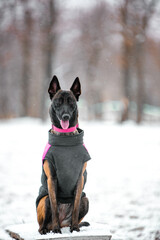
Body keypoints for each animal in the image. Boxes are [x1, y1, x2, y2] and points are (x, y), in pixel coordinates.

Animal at [36, 75, 91, 234]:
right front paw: (55, 230)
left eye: (71, 102)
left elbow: (76, 205)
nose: (65, 116)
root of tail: (62, 222)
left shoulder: (79, 179)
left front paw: (75, 228)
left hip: (86, 200)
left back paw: (71, 225)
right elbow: (54, 206)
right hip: (45, 199)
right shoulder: (52, 179)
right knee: (42, 223)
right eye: (58, 102)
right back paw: (48, 229)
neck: (65, 138)